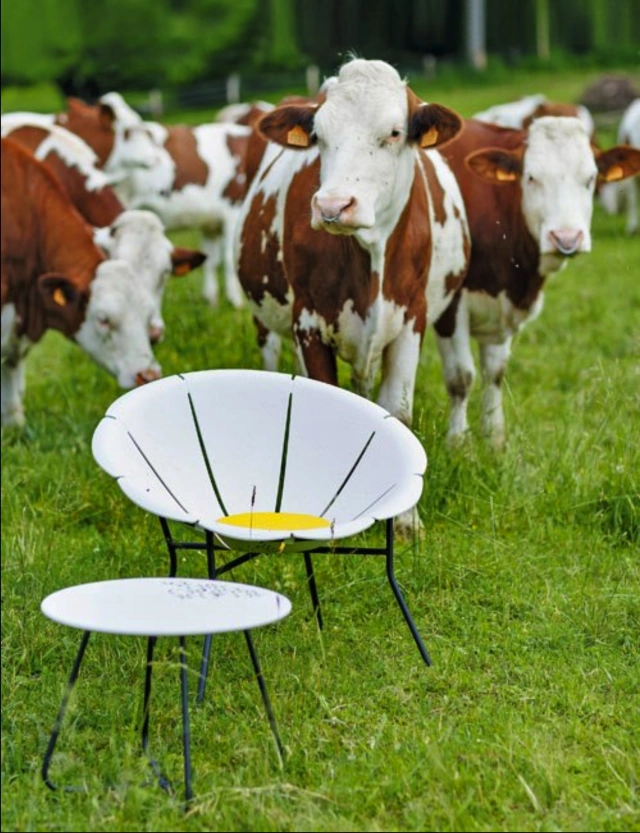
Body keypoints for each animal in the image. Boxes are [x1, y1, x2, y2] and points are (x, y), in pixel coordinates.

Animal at [235, 58, 470, 438]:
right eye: (318, 136)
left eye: (394, 132)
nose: (332, 205)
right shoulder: (307, 319)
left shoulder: (411, 316)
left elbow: (396, 411)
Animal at [433, 116, 640, 447]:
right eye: (531, 177)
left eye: (590, 178)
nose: (567, 239)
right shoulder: (449, 304)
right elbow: (460, 377)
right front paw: (457, 443)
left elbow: (495, 372)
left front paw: (494, 440)